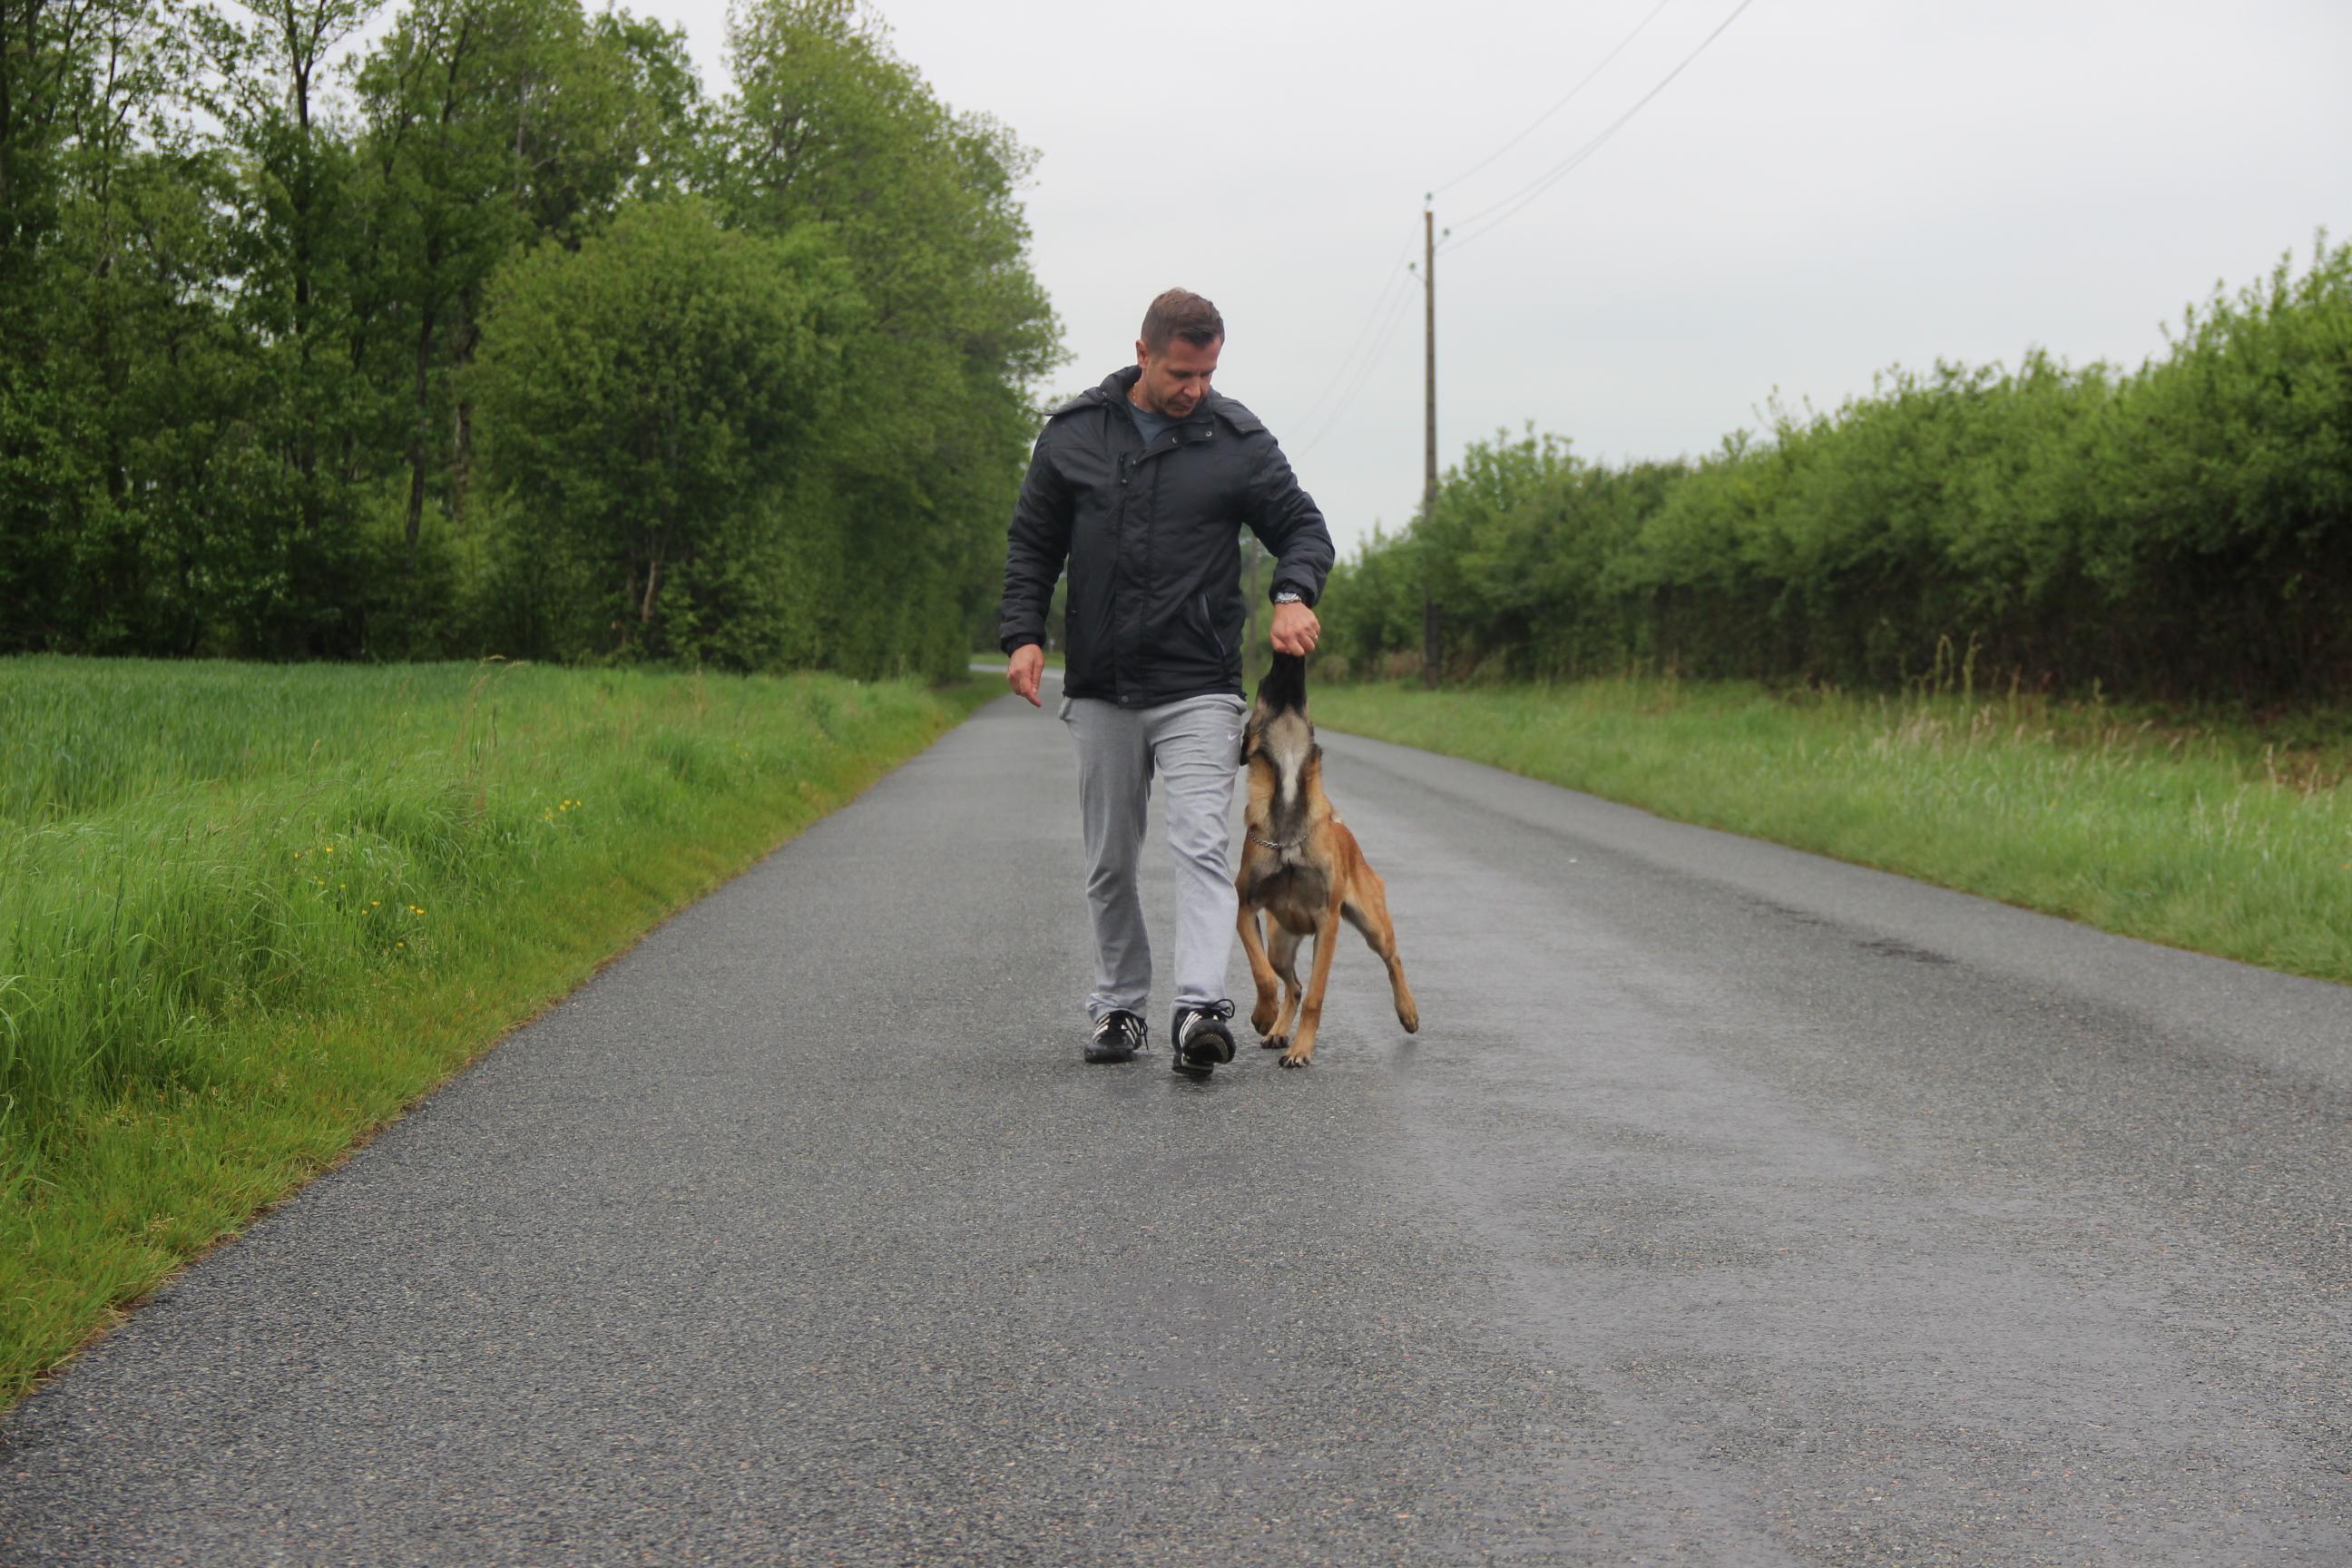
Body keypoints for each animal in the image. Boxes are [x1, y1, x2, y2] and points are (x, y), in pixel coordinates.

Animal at [1232, 649, 1411, 1067]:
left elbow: (1316, 995)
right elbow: (1262, 975)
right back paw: (1278, 1029)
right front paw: (1264, 1016)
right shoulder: (1246, 909)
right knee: (1291, 983)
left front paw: (1301, 1051)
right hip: (1279, 944)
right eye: (1266, 682)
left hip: (1372, 924)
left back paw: (1408, 1012)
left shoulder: (1327, 922)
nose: (1287, 653)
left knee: (1392, 958)